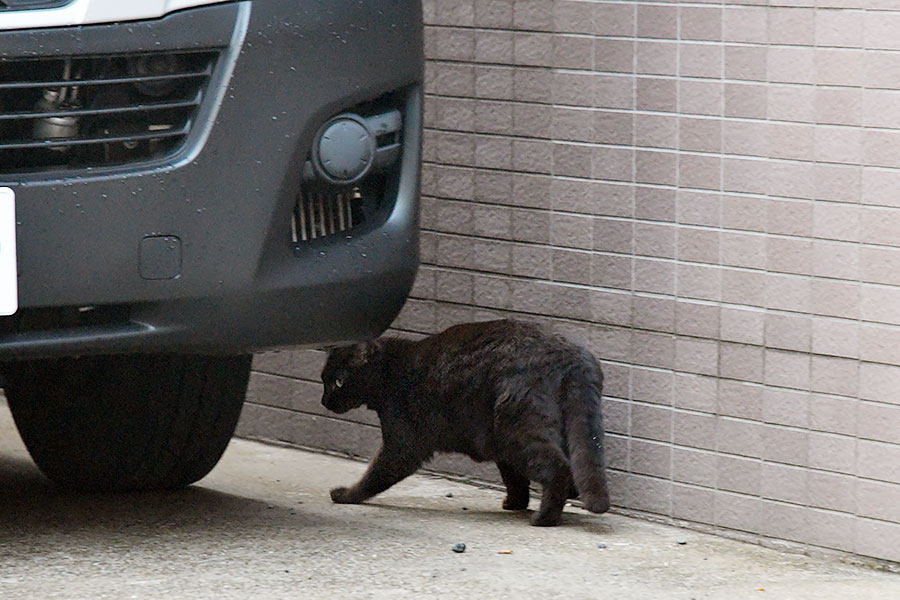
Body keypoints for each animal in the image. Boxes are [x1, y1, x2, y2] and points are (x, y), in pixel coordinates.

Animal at [318, 318, 612, 524]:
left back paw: (544, 518)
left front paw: (345, 495)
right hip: (525, 430)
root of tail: (571, 357)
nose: (323, 400)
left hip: (517, 427)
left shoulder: (401, 444)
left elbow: (374, 475)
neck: (389, 372)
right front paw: (514, 502)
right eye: (323, 379)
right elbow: (513, 477)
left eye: (339, 381)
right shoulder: (497, 446)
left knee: (557, 466)